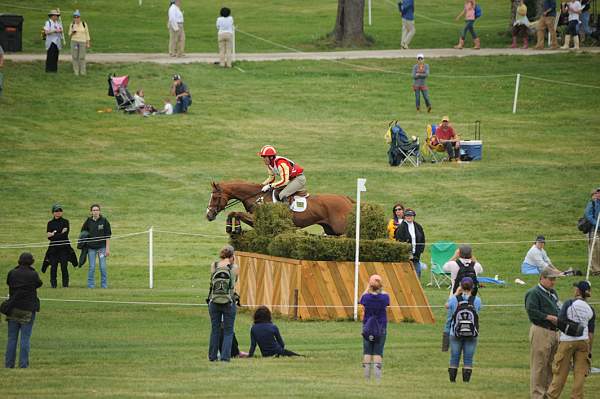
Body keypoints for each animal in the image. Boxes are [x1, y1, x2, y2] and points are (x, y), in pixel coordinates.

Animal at [207, 182, 356, 238]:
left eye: (215, 197)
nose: (208, 215)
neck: (257, 196)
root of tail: (347, 199)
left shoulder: (258, 218)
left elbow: (236, 213)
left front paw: (234, 228)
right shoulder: (255, 221)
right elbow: (234, 213)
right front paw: (232, 227)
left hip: (341, 229)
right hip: (331, 230)